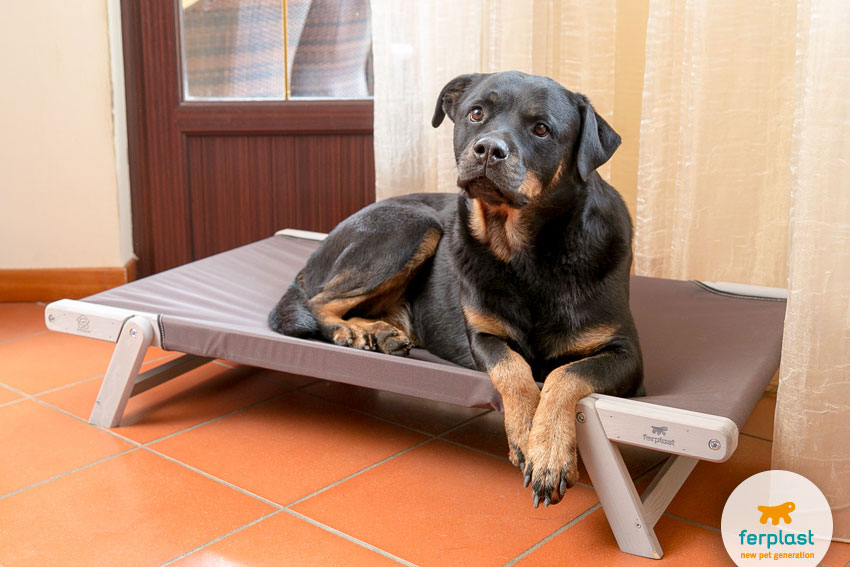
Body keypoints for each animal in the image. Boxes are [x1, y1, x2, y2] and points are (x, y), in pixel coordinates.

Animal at [272, 72, 644, 510]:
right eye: (476, 113)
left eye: (542, 129)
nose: (489, 149)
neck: (525, 253)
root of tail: (315, 254)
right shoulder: (483, 336)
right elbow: (513, 369)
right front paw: (526, 432)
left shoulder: (627, 356)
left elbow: (566, 374)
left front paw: (549, 447)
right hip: (415, 224)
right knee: (319, 300)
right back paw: (349, 330)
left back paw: (378, 332)